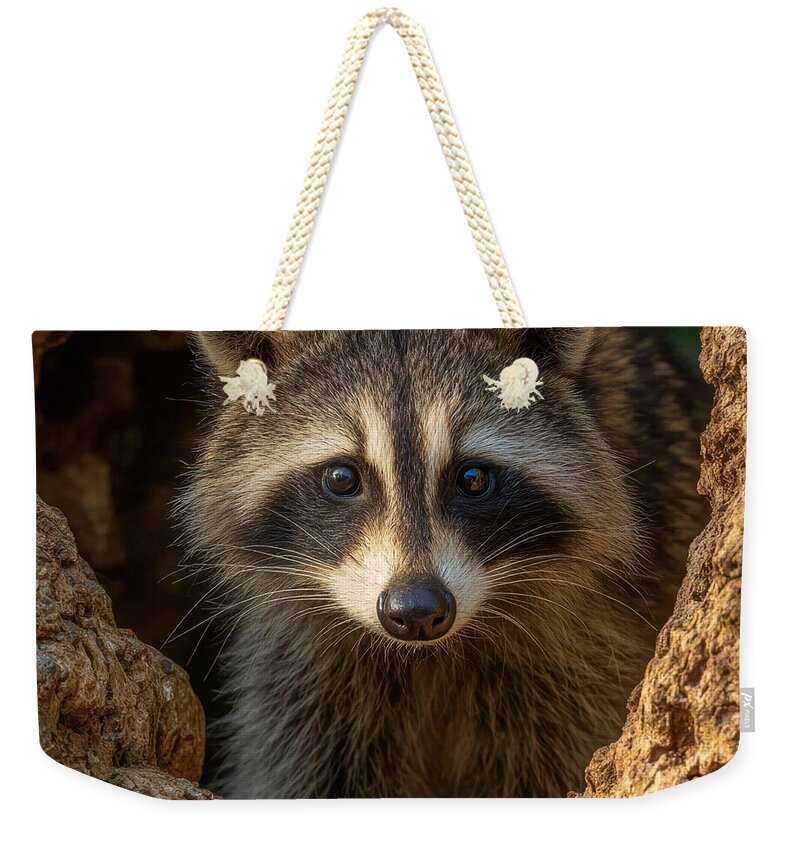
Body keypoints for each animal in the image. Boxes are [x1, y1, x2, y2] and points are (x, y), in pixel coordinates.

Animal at [178, 328, 710, 798]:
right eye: (342, 477)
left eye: (472, 478)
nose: (416, 610)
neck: (429, 657)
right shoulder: (303, 672)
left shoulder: (584, 650)